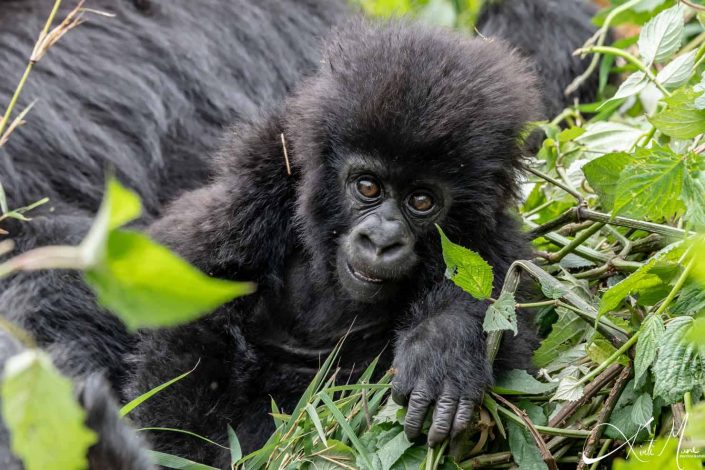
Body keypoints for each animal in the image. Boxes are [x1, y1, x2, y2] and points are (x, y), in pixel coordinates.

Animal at [125, 18, 540, 462]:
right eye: (368, 187)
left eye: (422, 201)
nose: (381, 240)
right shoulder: (252, 189)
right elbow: (187, 329)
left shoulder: (494, 241)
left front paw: (442, 345)